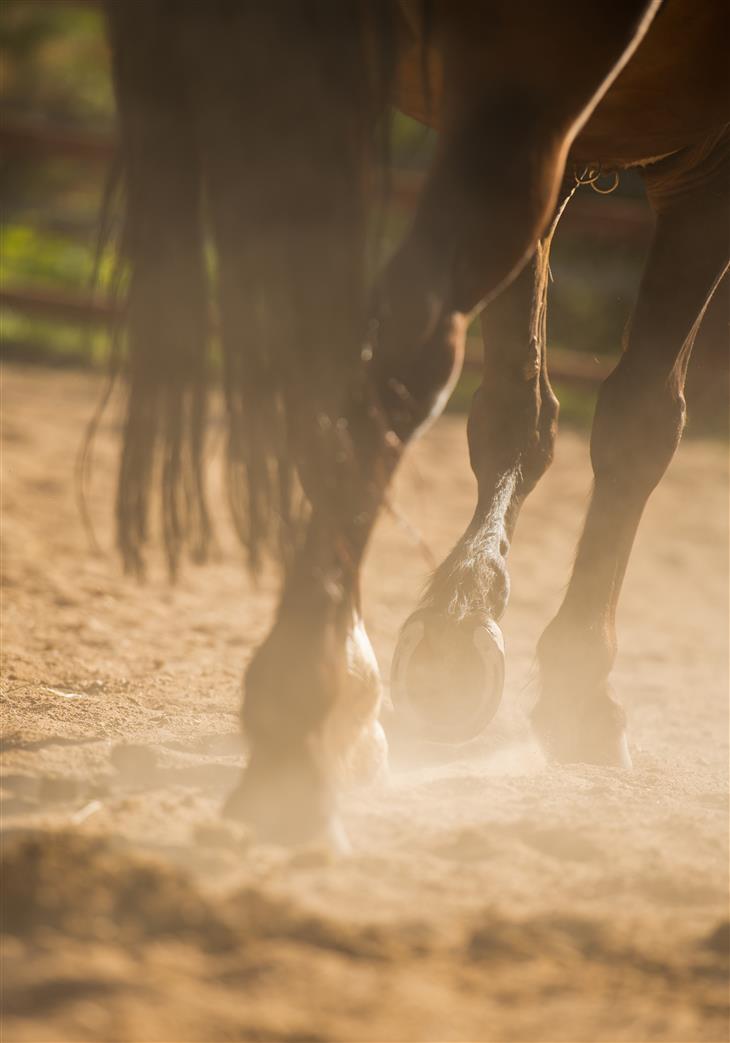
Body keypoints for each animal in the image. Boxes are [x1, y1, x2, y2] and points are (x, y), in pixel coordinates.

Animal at [104, 2, 730, 846]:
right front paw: (578, 683)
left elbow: (519, 410)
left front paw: (463, 630)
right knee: (408, 341)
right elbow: (642, 420)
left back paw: (345, 696)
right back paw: (302, 733)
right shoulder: (699, 161)